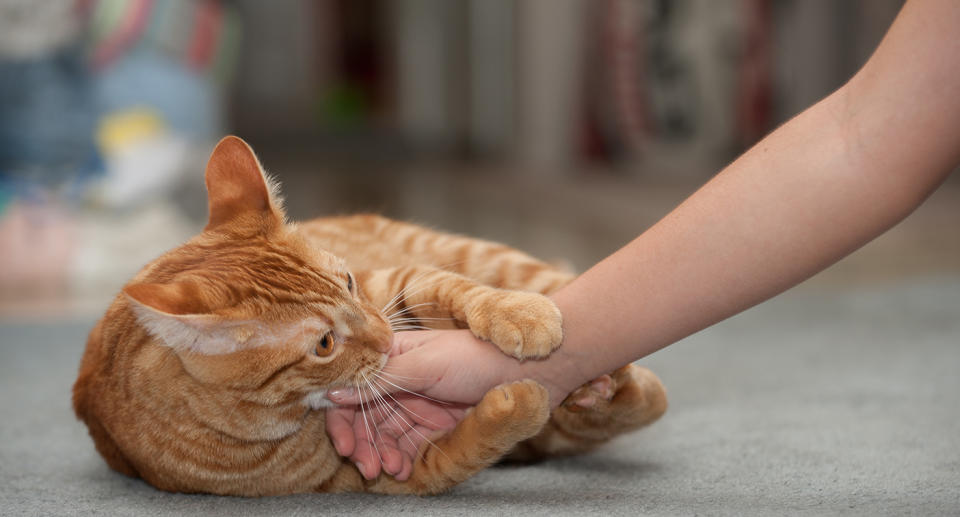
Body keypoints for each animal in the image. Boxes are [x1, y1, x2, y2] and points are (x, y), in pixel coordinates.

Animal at [73, 135, 668, 494]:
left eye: (350, 282)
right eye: (323, 345)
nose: (385, 342)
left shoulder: (394, 287)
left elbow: (452, 288)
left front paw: (516, 314)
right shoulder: (392, 475)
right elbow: (477, 442)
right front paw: (518, 401)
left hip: (485, 255)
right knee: (630, 406)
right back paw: (593, 388)